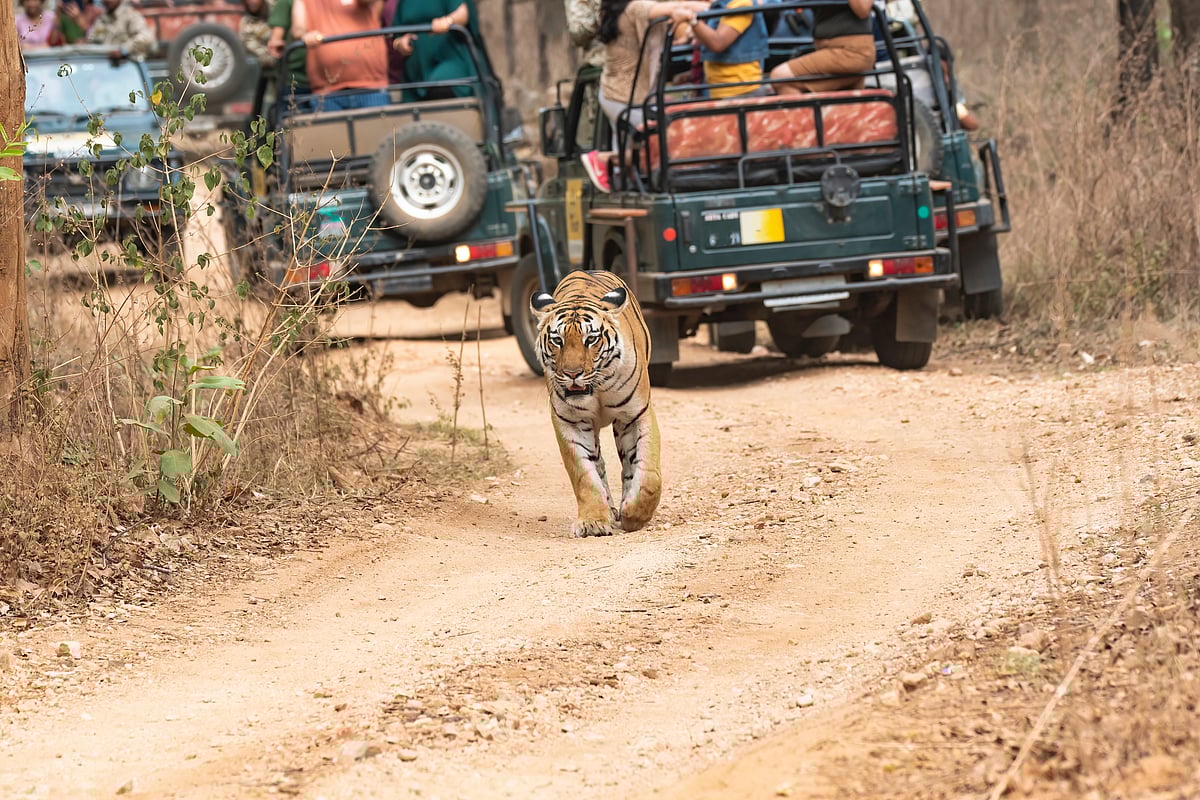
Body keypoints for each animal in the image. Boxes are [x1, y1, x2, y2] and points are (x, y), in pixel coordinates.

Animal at [530, 270, 662, 538]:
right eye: (557, 340)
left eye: (591, 339)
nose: (572, 373)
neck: (597, 389)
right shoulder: (571, 421)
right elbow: (585, 475)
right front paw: (593, 522)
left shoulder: (636, 414)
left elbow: (648, 475)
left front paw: (634, 515)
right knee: (599, 464)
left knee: (628, 464)